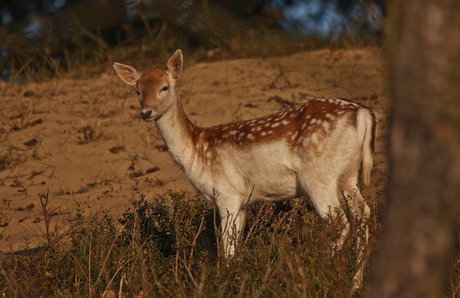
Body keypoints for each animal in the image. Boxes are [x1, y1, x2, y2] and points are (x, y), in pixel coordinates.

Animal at [113, 50, 376, 288]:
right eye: (137, 91)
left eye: (165, 87)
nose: (146, 112)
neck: (196, 151)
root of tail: (363, 114)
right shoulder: (241, 200)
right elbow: (236, 245)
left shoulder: (226, 193)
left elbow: (227, 247)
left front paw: (225, 283)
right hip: (348, 174)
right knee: (362, 213)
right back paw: (355, 282)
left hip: (317, 176)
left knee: (340, 223)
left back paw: (327, 277)